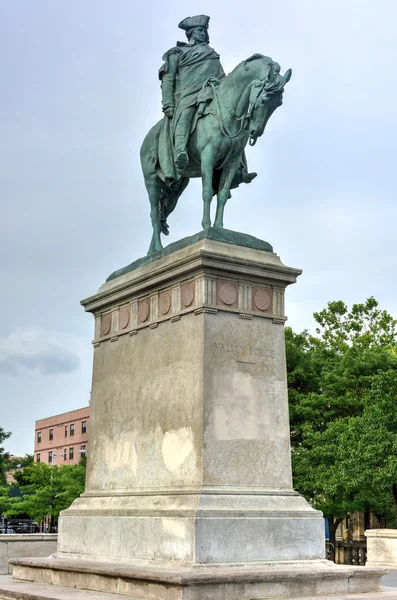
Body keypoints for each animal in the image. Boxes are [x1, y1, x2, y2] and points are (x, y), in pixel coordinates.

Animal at [140, 53, 290, 255]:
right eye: (265, 98)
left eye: (279, 103)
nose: (255, 132)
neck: (227, 114)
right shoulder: (208, 158)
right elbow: (207, 193)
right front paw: (206, 226)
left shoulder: (231, 163)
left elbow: (223, 194)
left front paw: (219, 228)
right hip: (152, 181)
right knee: (155, 213)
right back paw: (157, 248)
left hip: (178, 183)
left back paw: (152, 253)